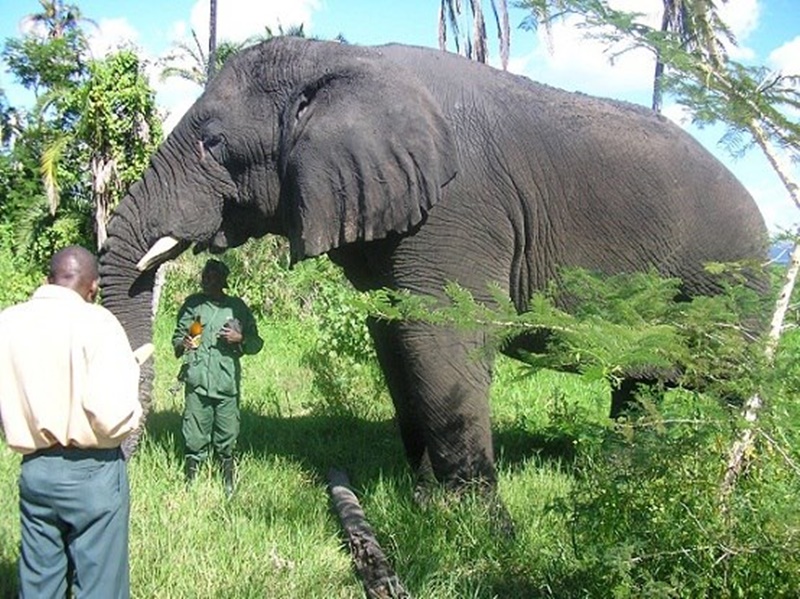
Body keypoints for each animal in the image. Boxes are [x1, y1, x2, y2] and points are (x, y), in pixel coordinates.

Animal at [100, 37, 768, 494]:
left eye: (214, 144)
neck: (343, 59)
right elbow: (397, 338)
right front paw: (422, 500)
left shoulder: (458, 207)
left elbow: (440, 338)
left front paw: (469, 525)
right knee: (641, 386)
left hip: (732, 279)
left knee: (733, 381)